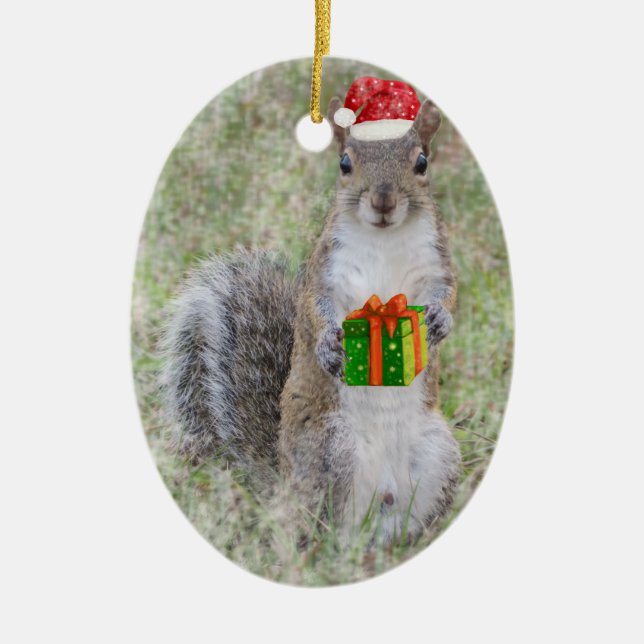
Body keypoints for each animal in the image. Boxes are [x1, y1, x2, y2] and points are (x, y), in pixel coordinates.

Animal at [161, 97, 461, 542]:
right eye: (344, 163)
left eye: (422, 162)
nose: (384, 201)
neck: (385, 240)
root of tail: (284, 490)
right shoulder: (325, 271)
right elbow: (314, 309)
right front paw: (326, 347)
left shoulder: (438, 264)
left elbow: (450, 294)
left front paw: (441, 320)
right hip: (333, 451)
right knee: (327, 529)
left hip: (438, 453)